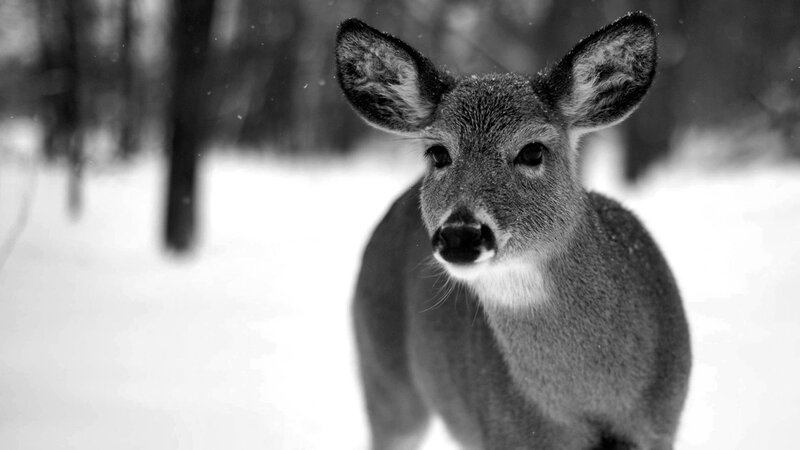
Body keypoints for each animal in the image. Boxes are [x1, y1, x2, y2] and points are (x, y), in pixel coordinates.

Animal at [335, 12, 691, 450]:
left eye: (532, 150)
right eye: (438, 152)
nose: (461, 233)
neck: (590, 406)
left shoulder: (661, 425)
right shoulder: (502, 431)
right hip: (384, 376)